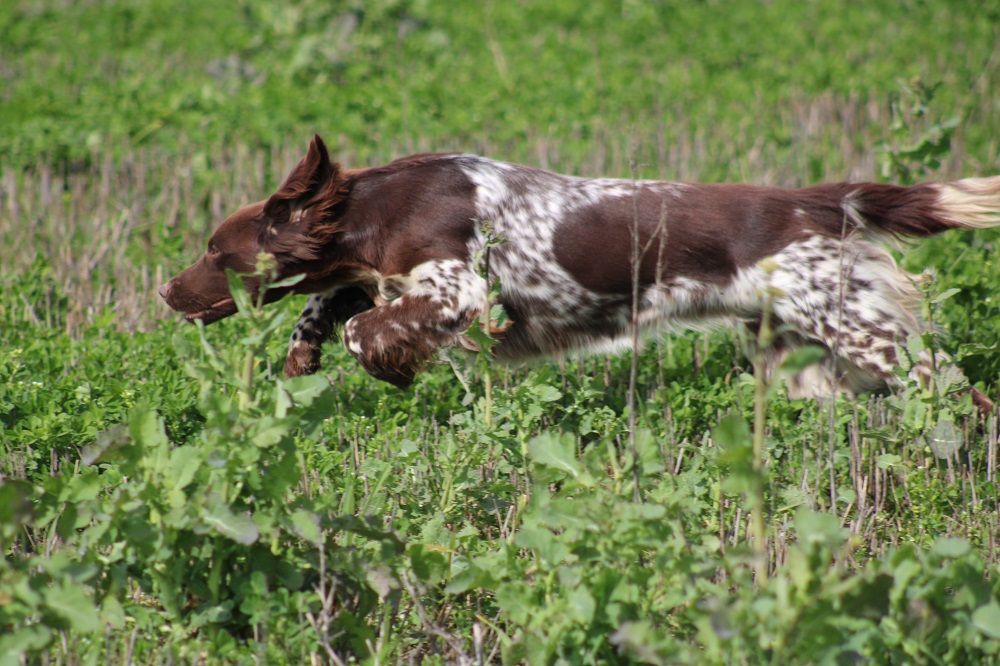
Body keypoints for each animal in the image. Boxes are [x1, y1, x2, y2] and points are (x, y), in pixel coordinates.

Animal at [158, 132, 1000, 408]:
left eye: (217, 253)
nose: (165, 291)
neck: (380, 207)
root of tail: (818, 201)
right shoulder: (386, 273)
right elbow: (334, 298)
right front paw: (299, 358)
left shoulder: (459, 285)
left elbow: (367, 326)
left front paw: (391, 367)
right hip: (801, 342)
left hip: (866, 333)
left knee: (962, 398)